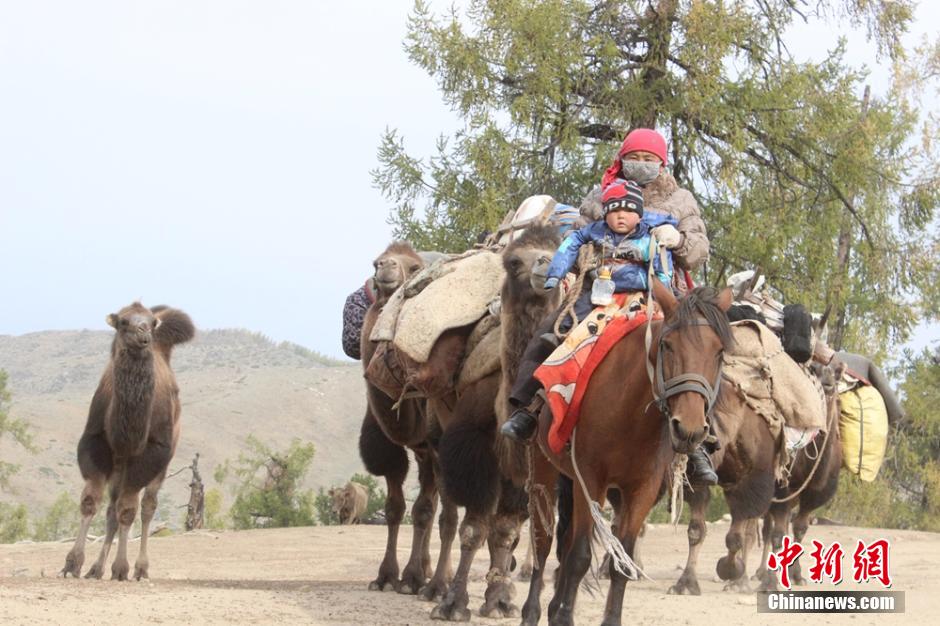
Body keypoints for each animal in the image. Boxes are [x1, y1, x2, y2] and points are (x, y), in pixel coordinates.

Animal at [528, 284, 736, 624]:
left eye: (719, 353)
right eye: (667, 345)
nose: (689, 429)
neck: (629, 413)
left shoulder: (642, 490)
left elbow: (621, 562)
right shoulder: (591, 482)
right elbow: (580, 556)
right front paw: (564, 617)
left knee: (565, 542)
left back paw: (553, 606)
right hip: (544, 469)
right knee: (543, 543)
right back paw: (531, 611)